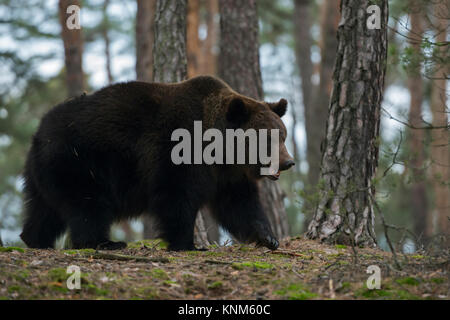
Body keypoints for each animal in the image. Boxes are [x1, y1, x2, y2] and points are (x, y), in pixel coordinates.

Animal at [20, 75, 296, 250]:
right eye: (269, 138)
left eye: (282, 135)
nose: (289, 162)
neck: (218, 150)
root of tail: (38, 132)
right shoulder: (176, 152)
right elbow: (176, 196)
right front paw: (186, 244)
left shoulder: (227, 175)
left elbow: (240, 204)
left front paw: (268, 237)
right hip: (79, 160)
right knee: (88, 205)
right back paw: (105, 242)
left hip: (45, 171)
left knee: (44, 209)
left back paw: (34, 239)